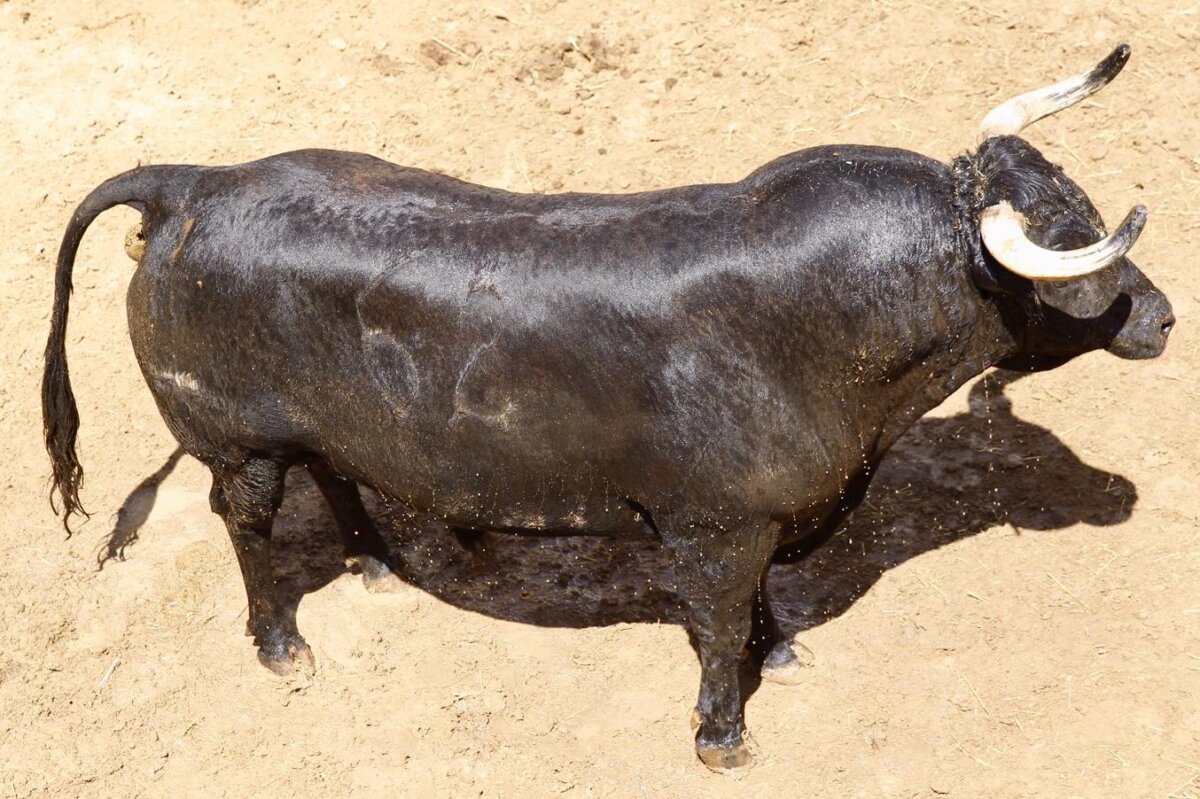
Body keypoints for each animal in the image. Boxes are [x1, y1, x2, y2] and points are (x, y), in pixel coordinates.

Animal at [43, 45, 1173, 769]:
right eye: (1069, 246)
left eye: (1081, 205)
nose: (1162, 317)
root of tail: (197, 183)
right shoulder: (715, 530)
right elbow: (718, 623)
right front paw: (724, 734)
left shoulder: (757, 522)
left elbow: (756, 607)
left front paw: (783, 650)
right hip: (236, 441)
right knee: (247, 522)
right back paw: (282, 644)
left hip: (313, 423)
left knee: (336, 471)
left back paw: (375, 563)